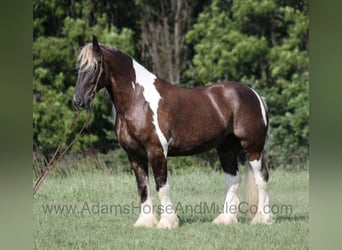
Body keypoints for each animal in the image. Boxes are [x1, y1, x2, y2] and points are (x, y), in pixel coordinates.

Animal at [73, 35, 276, 229]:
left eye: (94, 67)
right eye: (79, 68)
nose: (78, 101)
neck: (137, 99)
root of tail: (255, 95)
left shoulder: (156, 151)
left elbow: (161, 185)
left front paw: (167, 222)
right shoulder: (134, 155)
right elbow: (142, 187)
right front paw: (145, 222)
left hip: (253, 148)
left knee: (262, 178)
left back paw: (262, 219)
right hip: (226, 149)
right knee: (233, 179)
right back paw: (226, 219)